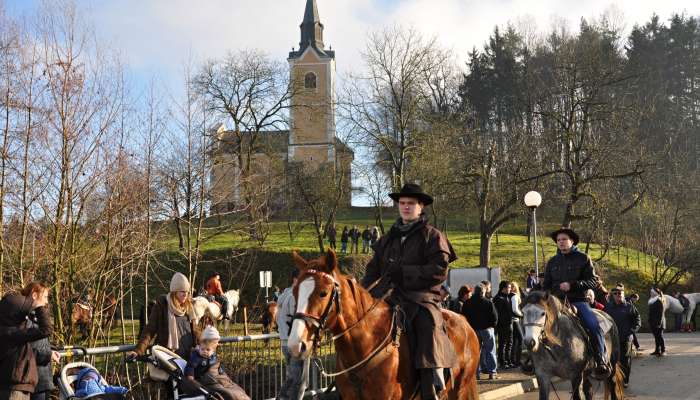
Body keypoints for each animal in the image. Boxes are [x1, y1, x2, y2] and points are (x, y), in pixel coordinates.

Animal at [286, 250, 482, 400]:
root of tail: (464, 321)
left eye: (323, 293)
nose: (295, 345)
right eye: (294, 292)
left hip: (461, 388)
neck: (363, 344)